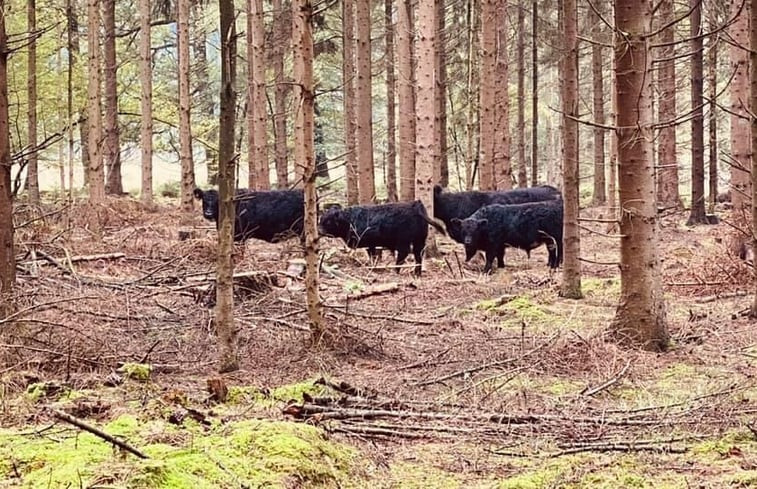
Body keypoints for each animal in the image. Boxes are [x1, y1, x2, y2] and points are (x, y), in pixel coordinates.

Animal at [318, 198, 446, 274]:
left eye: (328, 221)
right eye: (321, 219)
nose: (319, 231)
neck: (350, 220)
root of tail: (415, 204)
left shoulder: (369, 243)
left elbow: (372, 255)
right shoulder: (372, 245)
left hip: (403, 240)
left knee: (404, 254)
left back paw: (396, 270)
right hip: (419, 240)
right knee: (418, 254)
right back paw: (416, 273)